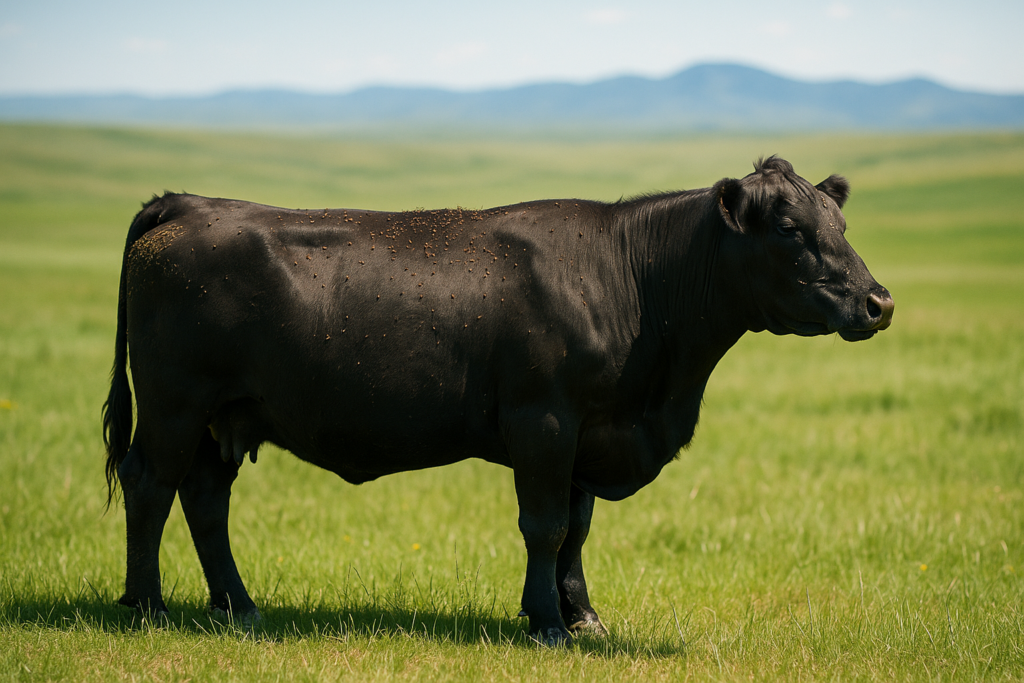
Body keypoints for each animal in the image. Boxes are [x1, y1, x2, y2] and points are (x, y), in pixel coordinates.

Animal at [102, 156, 893, 645]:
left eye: (841, 227)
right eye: (789, 229)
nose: (878, 301)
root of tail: (187, 203)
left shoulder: (587, 432)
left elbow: (577, 529)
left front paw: (582, 615)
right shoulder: (544, 420)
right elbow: (544, 526)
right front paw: (545, 622)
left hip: (223, 416)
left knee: (205, 500)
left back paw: (238, 606)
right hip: (174, 405)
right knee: (150, 487)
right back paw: (148, 605)